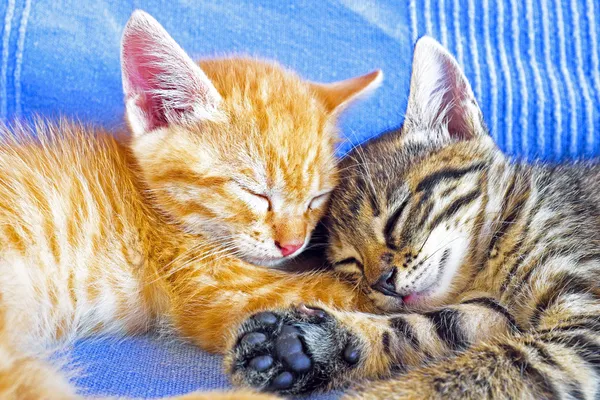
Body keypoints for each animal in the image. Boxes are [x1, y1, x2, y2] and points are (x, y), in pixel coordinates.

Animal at [0, 10, 382, 400]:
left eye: (316, 198)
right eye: (254, 193)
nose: (292, 244)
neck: (150, 203)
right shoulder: (216, 286)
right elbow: (345, 295)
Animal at [230, 38, 600, 400]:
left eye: (397, 216)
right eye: (350, 262)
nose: (382, 283)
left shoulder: (586, 318)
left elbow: (490, 368)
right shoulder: (492, 314)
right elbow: (430, 325)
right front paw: (305, 346)